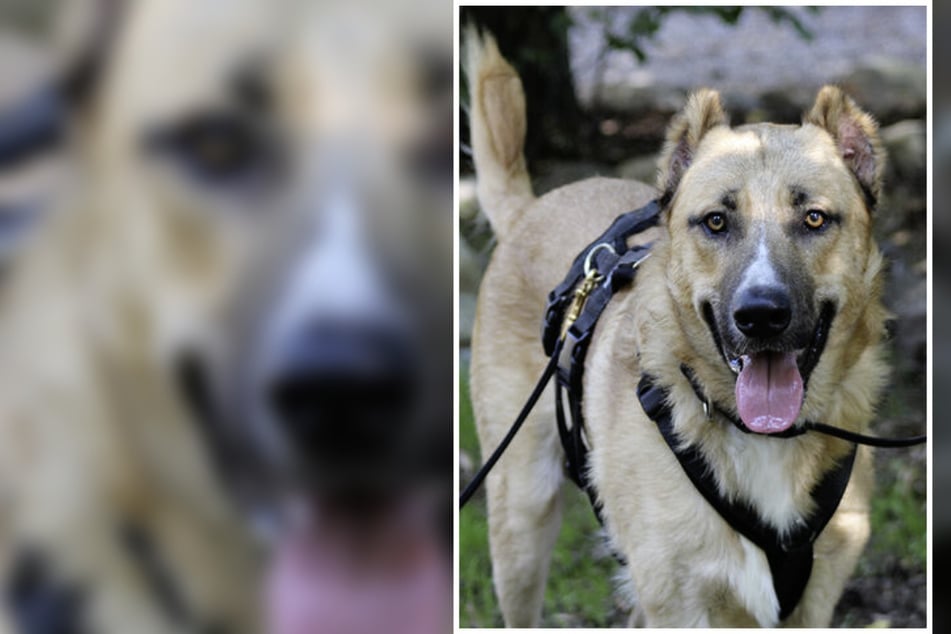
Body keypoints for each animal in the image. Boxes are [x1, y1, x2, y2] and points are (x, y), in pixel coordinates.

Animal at [464, 30, 888, 628]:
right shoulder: (680, 601)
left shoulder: (814, 598)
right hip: (521, 516)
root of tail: (530, 209)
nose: (761, 316)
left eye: (814, 218)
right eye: (716, 221)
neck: (758, 436)